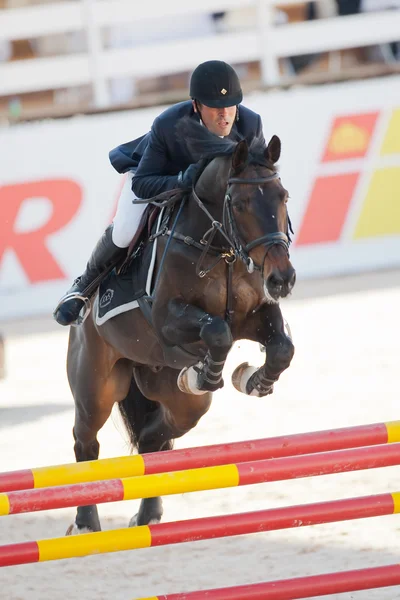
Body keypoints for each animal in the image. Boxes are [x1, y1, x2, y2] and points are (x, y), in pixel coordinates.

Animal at [66, 118, 296, 536]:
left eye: (283, 196)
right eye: (239, 204)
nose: (283, 279)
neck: (222, 249)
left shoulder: (258, 313)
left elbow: (282, 347)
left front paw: (252, 380)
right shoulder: (167, 320)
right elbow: (216, 331)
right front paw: (208, 372)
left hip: (178, 400)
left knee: (152, 440)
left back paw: (148, 514)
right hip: (95, 388)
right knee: (86, 442)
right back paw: (86, 521)